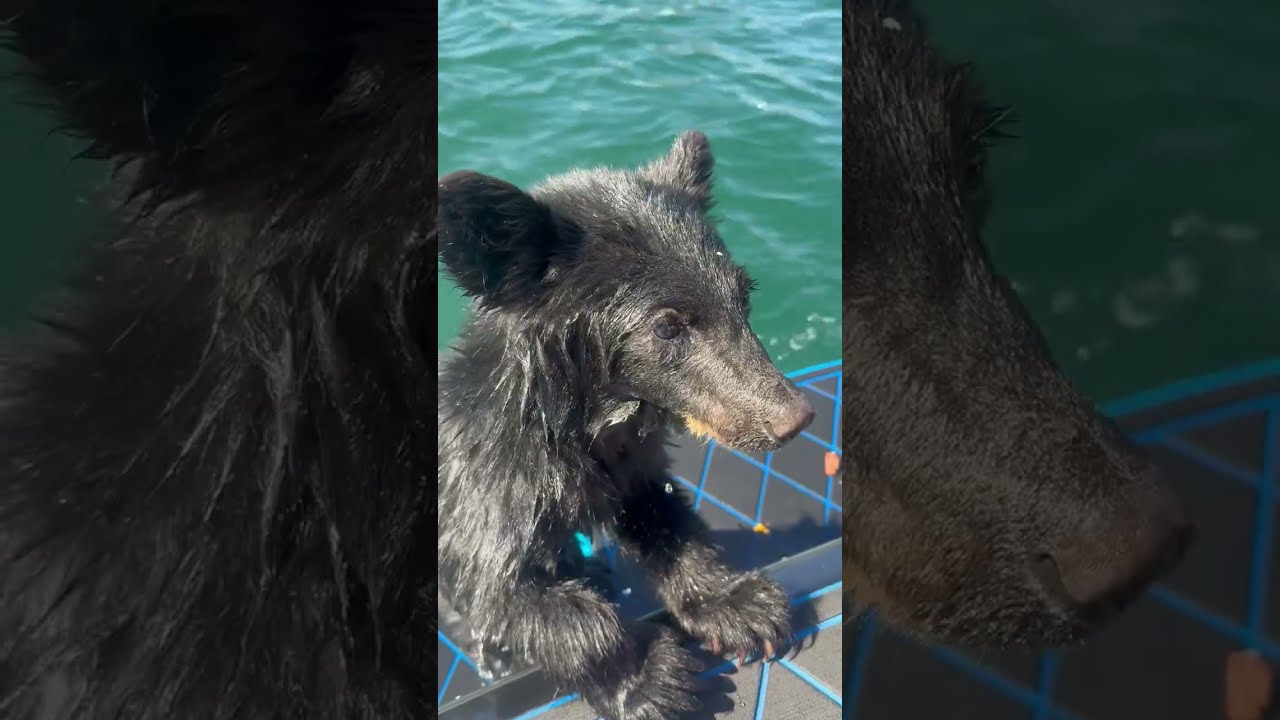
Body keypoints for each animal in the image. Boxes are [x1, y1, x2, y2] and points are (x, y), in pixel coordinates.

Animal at [437, 132, 817, 720]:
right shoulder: (485, 493)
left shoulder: (629, 464)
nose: (792, 417)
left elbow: (667, 516)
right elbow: (513, 599)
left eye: (744, 296)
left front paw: (736, 604)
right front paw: (648, 680)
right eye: (667, 326)